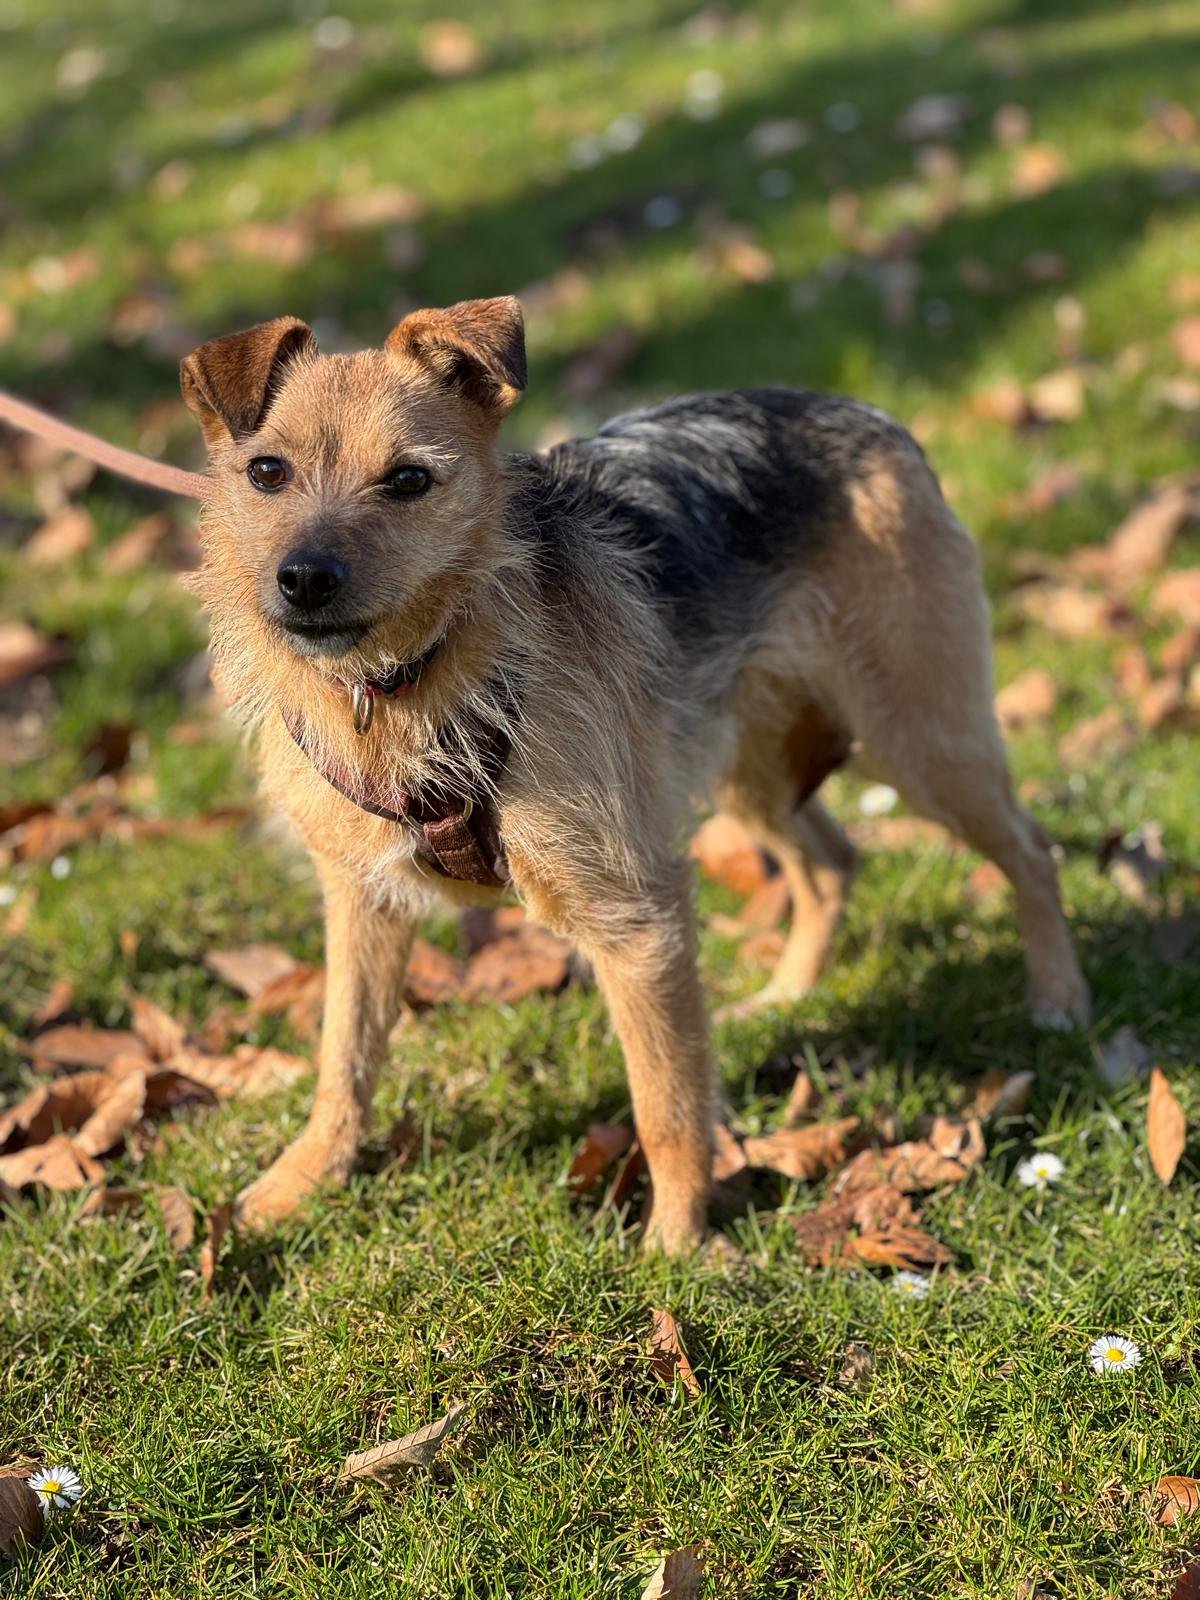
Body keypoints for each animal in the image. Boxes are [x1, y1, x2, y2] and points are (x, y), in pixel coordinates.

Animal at [179, 295, 1090, 1254]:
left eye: (408, 481)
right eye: (267, 471)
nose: (305, 581)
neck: (410, 678)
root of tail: (873, 417)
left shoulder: (637, 920)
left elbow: (666, 1102)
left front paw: (679, 1247)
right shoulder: (364, 901)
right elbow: (343, 1060)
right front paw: (302, 1182)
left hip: (921, 738)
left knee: (1030, 848)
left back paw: (1058, 997)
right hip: (744, 766)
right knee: (831, 861)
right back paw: (787, 993)